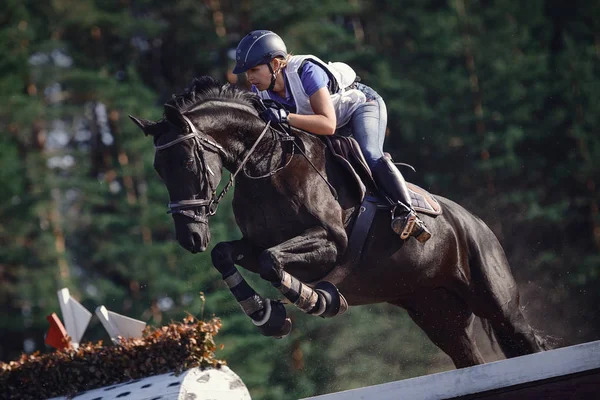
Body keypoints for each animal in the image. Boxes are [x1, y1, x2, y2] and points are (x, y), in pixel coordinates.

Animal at [131, 76, 548, 368]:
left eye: (187, 162)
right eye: (158, 169)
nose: (189, 237)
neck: (267, 163)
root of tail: (476, 222)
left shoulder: (331, 242)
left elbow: (272, 261)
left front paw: (314, 299)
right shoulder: (252, 244)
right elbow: (226, 254)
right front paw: (266, 316)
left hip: (496, 303)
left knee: (521, 338)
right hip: (437, 313)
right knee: (467, 356)